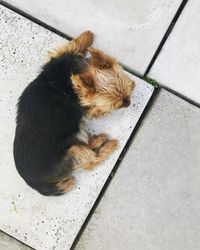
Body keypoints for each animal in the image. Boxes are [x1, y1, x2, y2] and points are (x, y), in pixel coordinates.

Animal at [13, 30, 135, 195]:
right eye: (115, 104)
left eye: (125, 94)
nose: (128, 102)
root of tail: (35, 184)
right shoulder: (89, 108)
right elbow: (97, 111)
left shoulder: (58, 58)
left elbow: (73, 44)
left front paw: (87, 36)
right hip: (74, 153)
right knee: (92, 159)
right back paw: (109, 145)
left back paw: (98, 139)